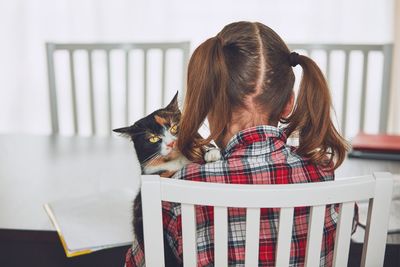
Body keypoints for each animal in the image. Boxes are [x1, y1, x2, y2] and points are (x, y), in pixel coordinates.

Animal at [112, 93, 220, 266]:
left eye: (174, 128)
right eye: (153, 138)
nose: (172, 142)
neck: (176, 163)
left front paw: (212, 153)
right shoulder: (142, 212)